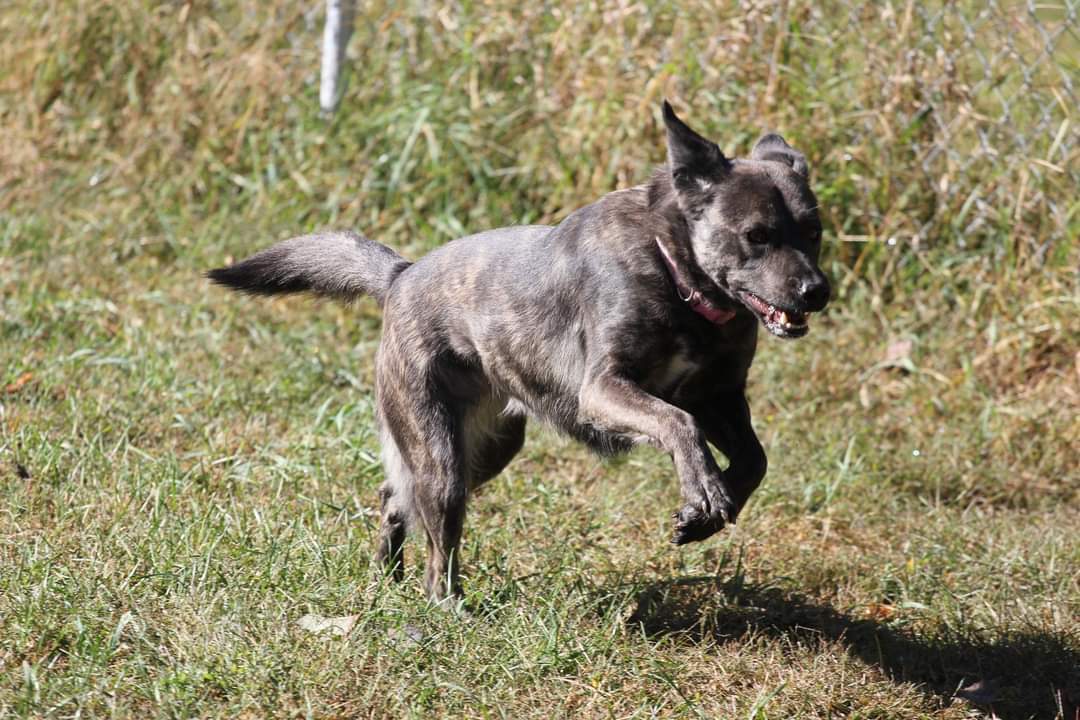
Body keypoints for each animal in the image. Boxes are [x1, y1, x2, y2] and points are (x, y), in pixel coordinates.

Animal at [212, 104, 833, 604]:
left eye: (814, 231)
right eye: (757, 235)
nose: (817, 292)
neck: (673, 272)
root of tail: (400, 275)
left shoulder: (719, 397)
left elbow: (753, 460)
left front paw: (705, 514)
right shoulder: (604, 389)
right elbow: (679, 425)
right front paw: (703, 493)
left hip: (487, 450)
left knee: (395, 498)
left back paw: (387, 581)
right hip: (442, 458)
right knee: (437, 547)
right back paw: (445, 610)